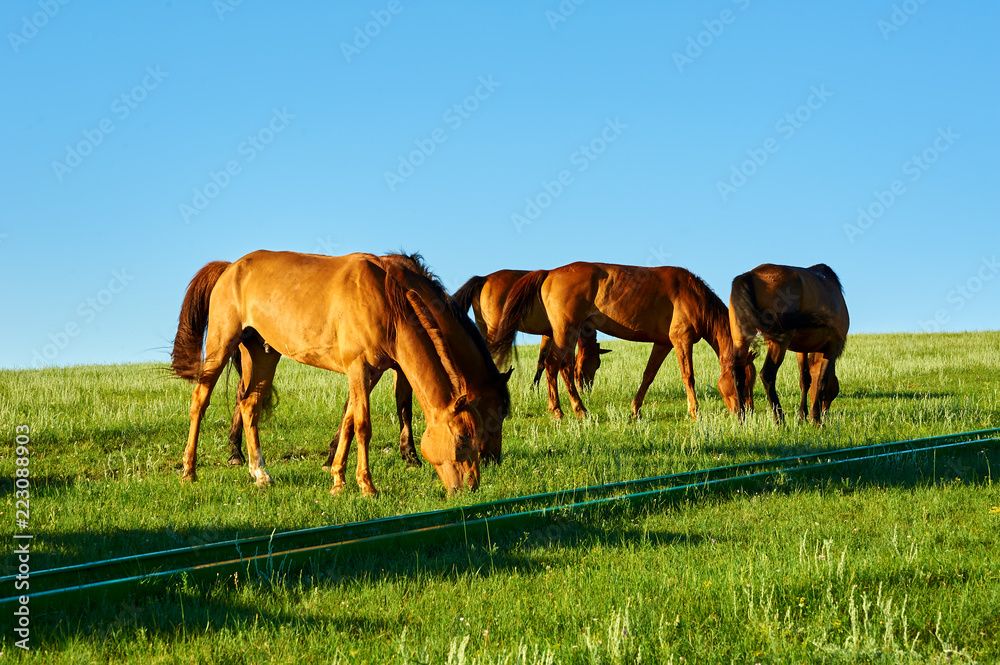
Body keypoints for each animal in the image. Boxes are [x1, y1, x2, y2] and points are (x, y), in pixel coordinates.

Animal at [170, 252, 508, 496]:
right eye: (462, 436)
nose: (473, 484)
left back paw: (260, 473)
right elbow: (363, 426)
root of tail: (230, 268)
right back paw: (189, 471)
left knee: (249, 405)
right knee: (199, 400)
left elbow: (347, 422)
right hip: (221, 344)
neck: (386, 301)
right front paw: (367, 485)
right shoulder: (359, 368)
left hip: (262, 354)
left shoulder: (368, 374)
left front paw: (337, 481)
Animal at [454, 268, 608, 416]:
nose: (587, 389)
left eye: (598, 365)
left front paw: (534, 390)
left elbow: (541, 363)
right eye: (590, 365)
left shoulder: (548, 335)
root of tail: (484, 278)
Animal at [484, 262, 752, 418]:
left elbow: (648, 375)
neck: (693, 294)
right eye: (742, 380)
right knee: (555, 365)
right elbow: (688, 376)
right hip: (565, 332)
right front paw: (694, 411)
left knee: (561, 367)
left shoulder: (664, 344)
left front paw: (635, 409)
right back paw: (568, 410)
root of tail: (549, 273)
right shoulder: (681, 341)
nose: (746, 412)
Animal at [728, 262, 852, 422]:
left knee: (738, 374)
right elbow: (821, 381)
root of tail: (749, 275)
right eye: (834, 391)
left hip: (740, 340)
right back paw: (780, 419)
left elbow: (805, 380)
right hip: (778, 343)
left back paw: (742, 418)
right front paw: (816, 419)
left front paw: (802, 416)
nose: (825, 413)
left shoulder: (802, 349)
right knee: (767, 375)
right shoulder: (833, 346)